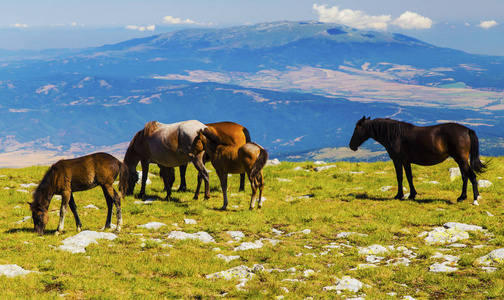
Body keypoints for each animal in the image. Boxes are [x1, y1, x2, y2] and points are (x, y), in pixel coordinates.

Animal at [348, 116, 486, 205]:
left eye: (356, 129)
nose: (351, 146)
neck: (395, 135)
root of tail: (467, 130)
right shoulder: (406, 161)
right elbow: (409, 177)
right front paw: (412, 195)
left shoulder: (398, 161)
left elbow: (400, 177)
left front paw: (399, 195)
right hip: (460, 160)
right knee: (465, 177)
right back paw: (462, 197)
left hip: (461, 159)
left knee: (472, 176)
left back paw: (475, 199)